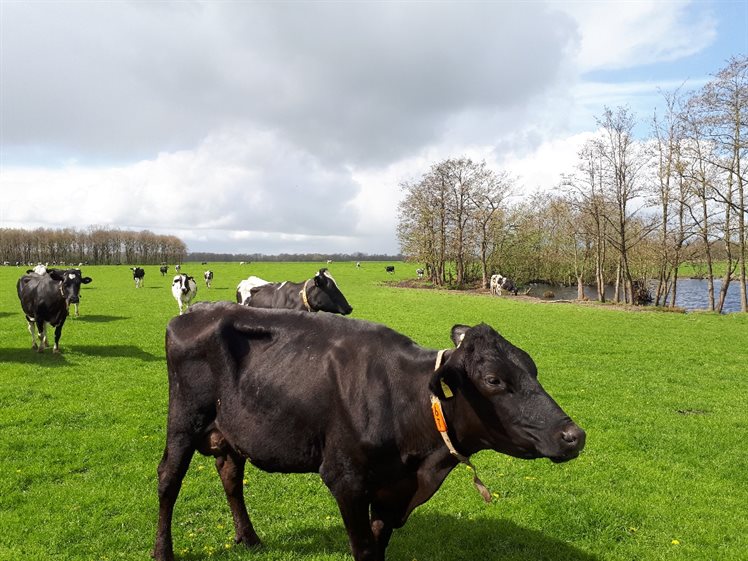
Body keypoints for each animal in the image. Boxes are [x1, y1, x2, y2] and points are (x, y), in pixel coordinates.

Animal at [152, 302, 584, 560]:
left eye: (532, 367)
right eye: (493, 380)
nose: (573, 435)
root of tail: (193, 311)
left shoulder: (392, 491)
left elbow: (379, 546)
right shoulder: (346, 480)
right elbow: (363, 550)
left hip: (231, 430)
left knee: (230, 475)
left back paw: (250, 538)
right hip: (183, 420)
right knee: (168, 479)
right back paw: (163, 552)